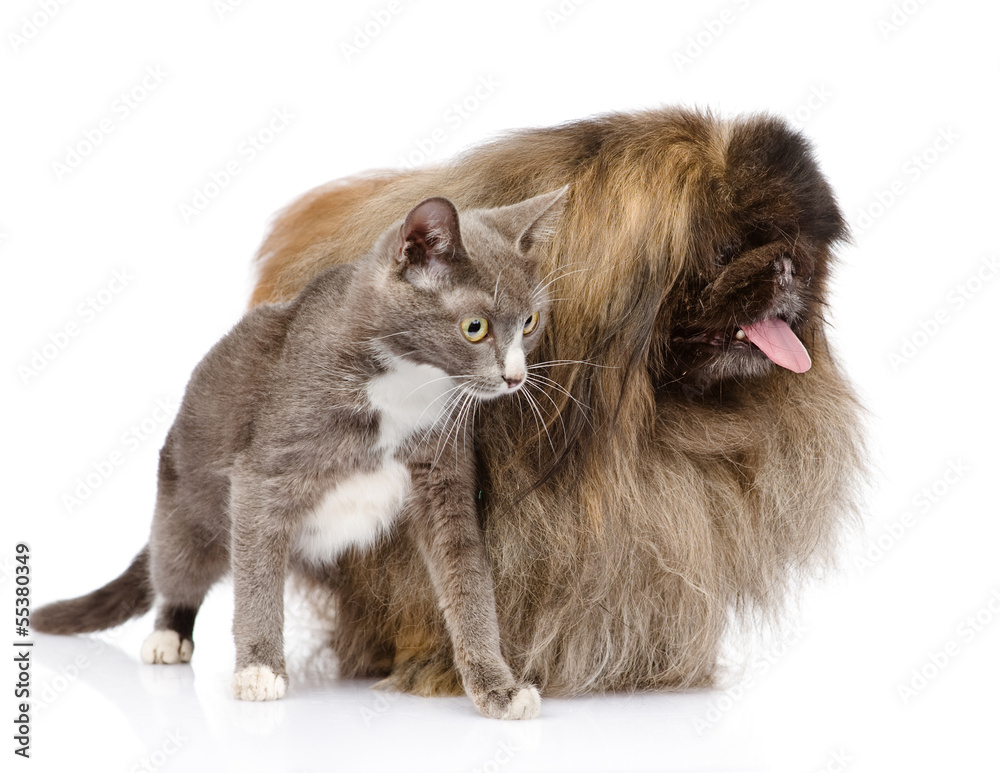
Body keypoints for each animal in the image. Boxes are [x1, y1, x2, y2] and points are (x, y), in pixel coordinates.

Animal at [33, 187, 572, 716]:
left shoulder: (444, 471)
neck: (403, 383)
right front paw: (258, 670)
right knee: (177, 566)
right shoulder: (265, 467)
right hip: (186, 501)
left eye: (530, 323)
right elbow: (256, 576)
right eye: (475, 327)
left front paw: (498, 687)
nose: (516, 377)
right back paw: (169, 635)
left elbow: (467, 576)